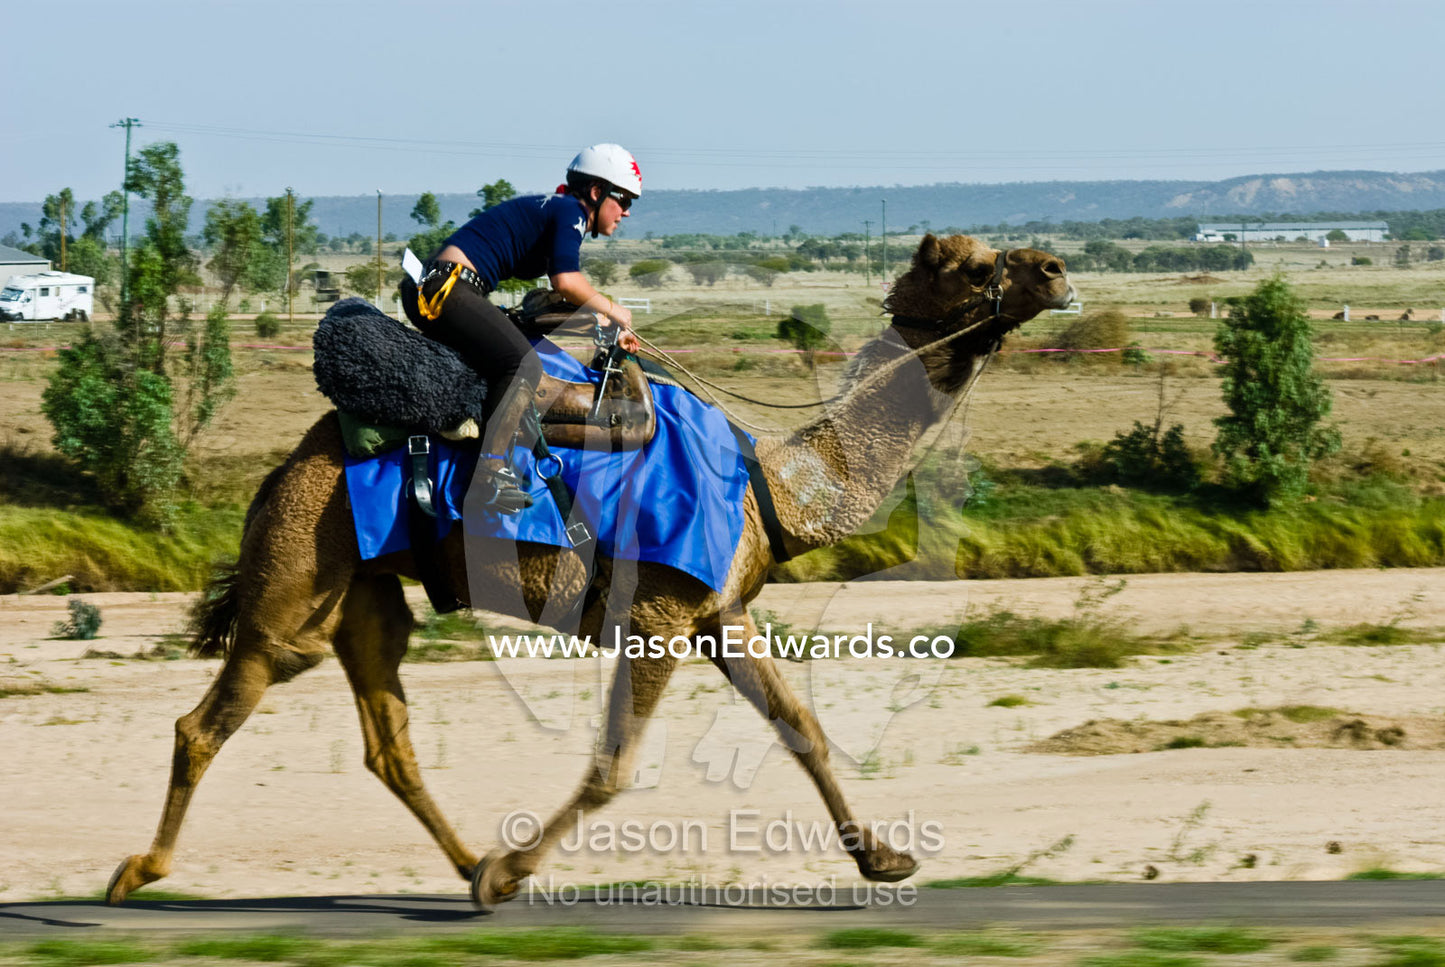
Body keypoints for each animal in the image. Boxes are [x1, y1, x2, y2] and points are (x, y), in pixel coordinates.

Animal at [105, 234, 1074, 907]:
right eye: (969, 264)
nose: (1056, 268)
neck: (774, 484)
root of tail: (279, 473)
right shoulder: (658, 614)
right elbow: (614, 763)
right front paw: (510, 872)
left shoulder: (721, 612)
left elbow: (802, 726)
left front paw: (885, 857)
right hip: (294, 574)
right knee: (208, 719)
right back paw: (135, 873)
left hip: (363, 595)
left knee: (389, 741)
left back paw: (463, 861)